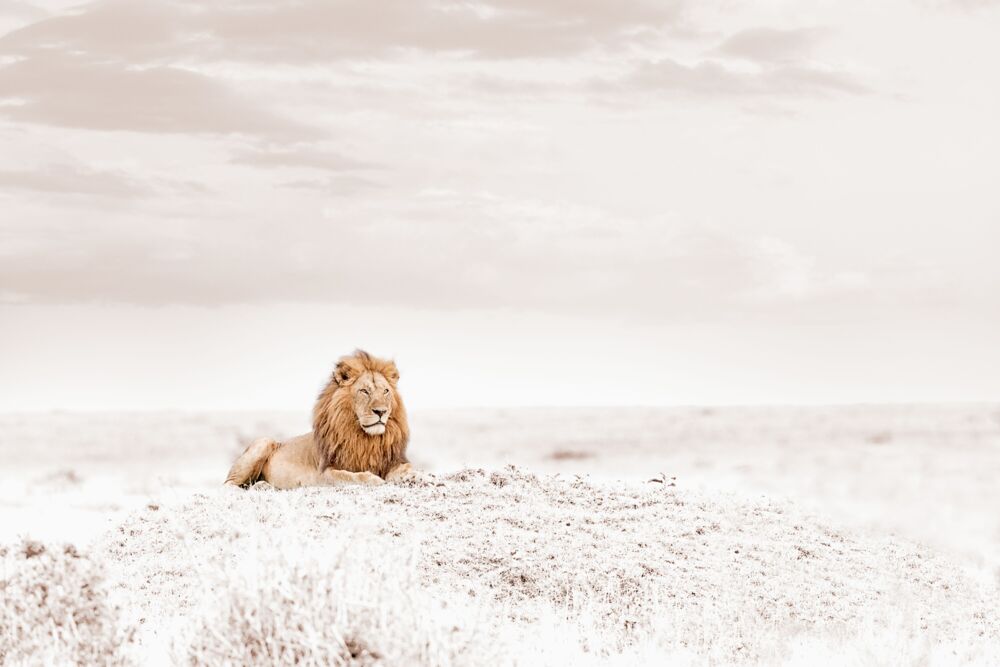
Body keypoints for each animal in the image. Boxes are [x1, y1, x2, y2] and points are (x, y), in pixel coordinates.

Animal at [224, 350, 416, 489]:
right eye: (364, 391)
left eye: (386, 391)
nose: (381, 411)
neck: (365, 439)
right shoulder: (324, 473)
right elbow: (350, 476)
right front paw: (374, 479)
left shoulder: (391, 461)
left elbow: (406, 468)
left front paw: (414, 476)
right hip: (263, 442)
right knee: (229, 486)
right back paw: (261, 486)